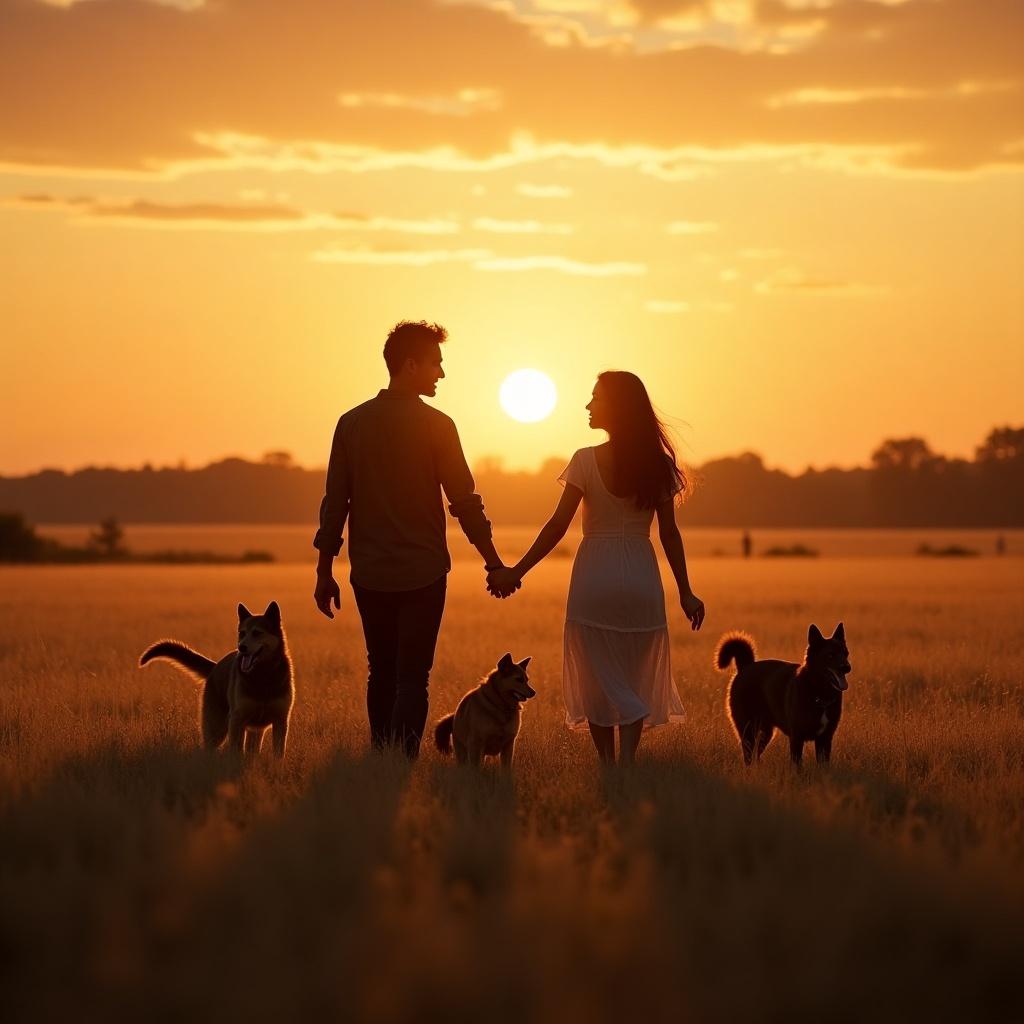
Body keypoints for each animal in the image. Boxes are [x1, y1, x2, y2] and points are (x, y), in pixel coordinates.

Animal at [139, 598, 296, 761]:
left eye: (257, 633)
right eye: (242, 633)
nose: (241, 647)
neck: (263, 675)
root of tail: (214, 668)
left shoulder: (281, 720)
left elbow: (278, 752)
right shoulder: (237, 719)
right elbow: (236, 750)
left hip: (252, 730)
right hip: (216, 728)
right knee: (208, 748)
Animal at [716, 622, 851, 770]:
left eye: (845, 653)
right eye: (830, 655)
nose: (847, 667)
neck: (818, 692)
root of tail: (745, 666)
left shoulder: (825, 739)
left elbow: (823, 765)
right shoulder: (797, 737)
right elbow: (797, 765)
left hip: (765, 732)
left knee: (755, 755)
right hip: (748, 731)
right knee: (748, 756)